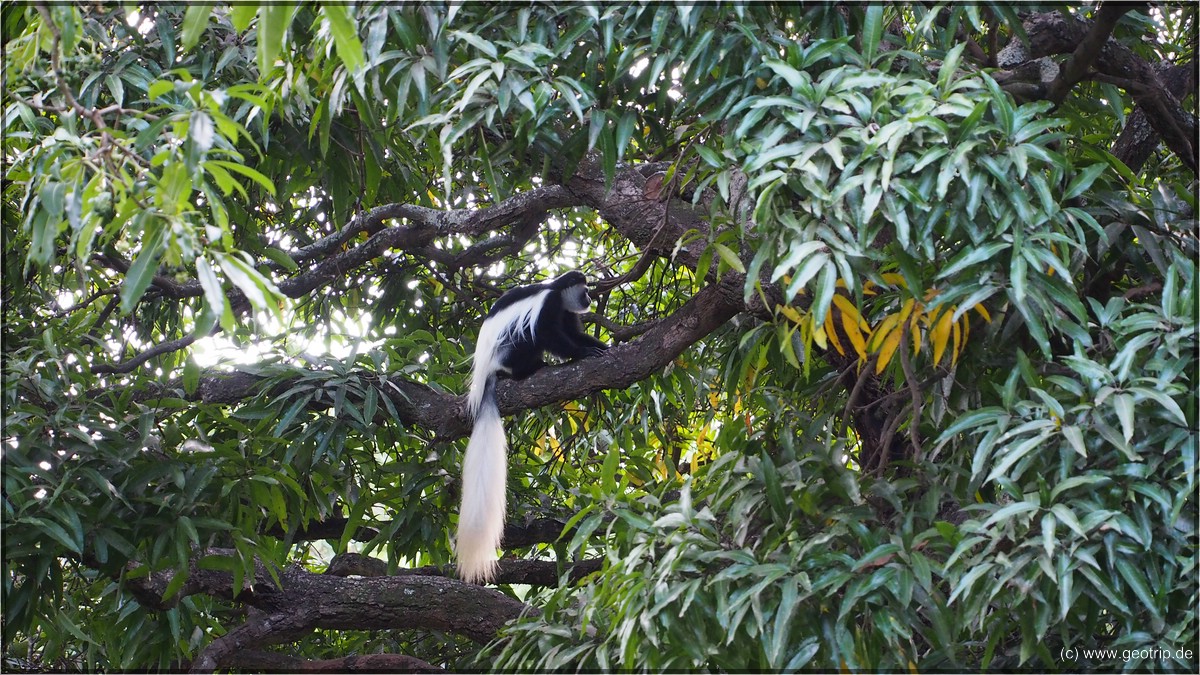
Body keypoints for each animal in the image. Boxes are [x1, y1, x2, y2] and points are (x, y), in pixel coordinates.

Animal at [458, 270, 609, 581]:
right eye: (585, 290)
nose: (590, 299)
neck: (556, 292)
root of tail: (488, 371)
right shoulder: (549, 306)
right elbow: (547, 334)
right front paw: (583, 353)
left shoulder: (566, 313)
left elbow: (574, 332)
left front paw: (600, 345)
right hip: (508, 350)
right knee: (527, 338)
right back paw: (528, 369)